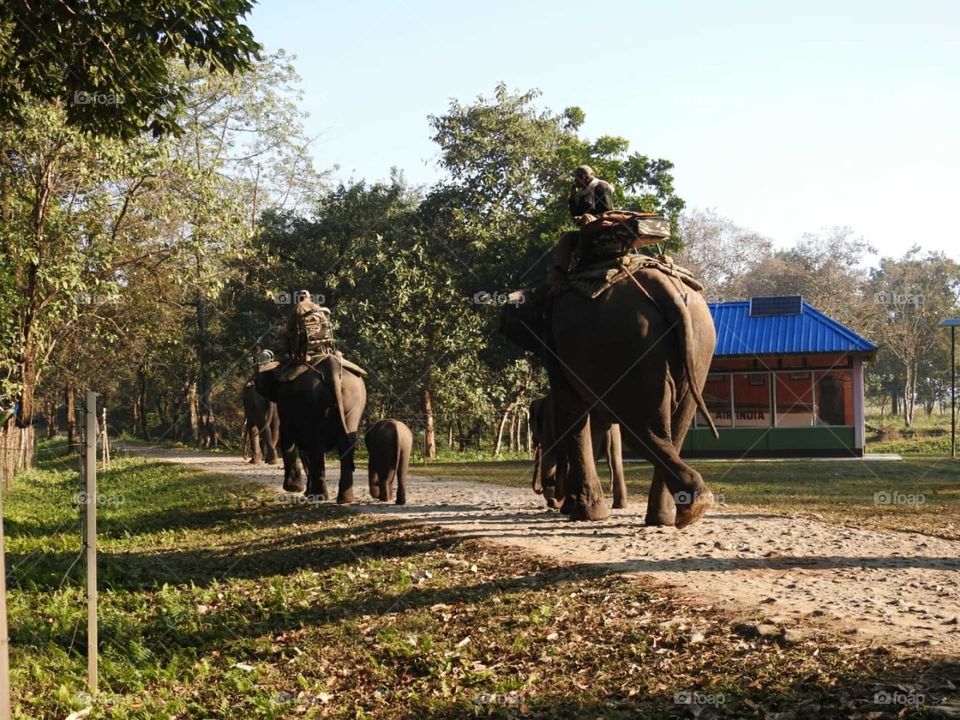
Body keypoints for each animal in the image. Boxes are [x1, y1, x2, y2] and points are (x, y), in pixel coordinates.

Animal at [255, 354, 367, 503]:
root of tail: (332, 369)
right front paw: (304, 491)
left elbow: (288, 439)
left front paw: (295, 488)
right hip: (354, 399)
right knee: (345, 444)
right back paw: (344, 499)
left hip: (312, 401)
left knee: (315, 446)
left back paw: (319, 496)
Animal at [501, 263, 718, 528]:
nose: (550, 497)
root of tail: (661, 284)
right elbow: (594, 419)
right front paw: (579, 509)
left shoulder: (554, 345)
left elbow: (573, 409)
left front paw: (583, 513)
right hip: (698, 348)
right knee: (674, 430)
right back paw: (682, 512)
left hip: (628, 346)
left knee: (639, 430)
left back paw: (688, 507)